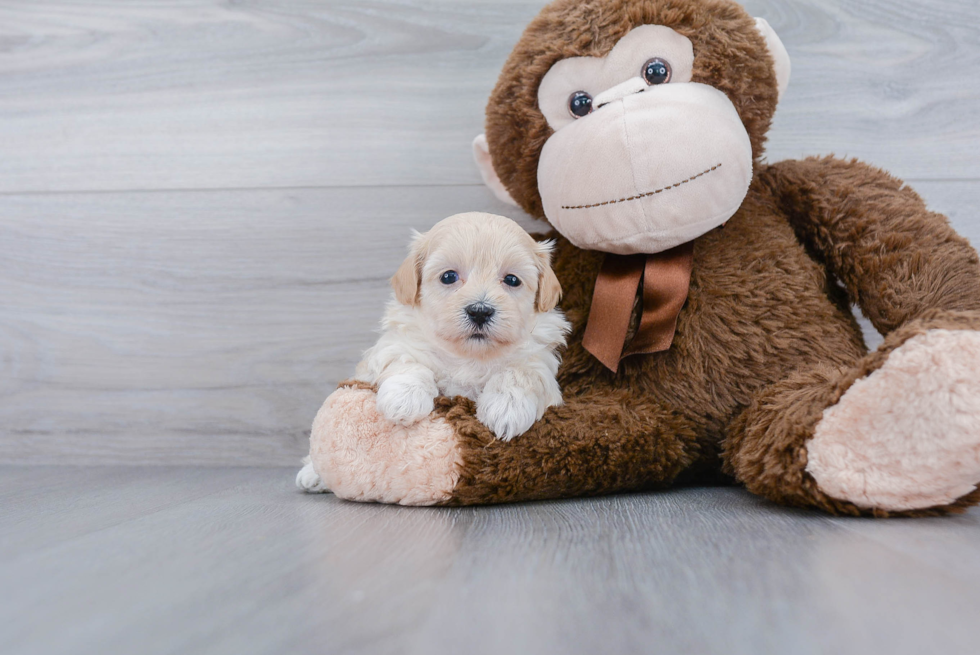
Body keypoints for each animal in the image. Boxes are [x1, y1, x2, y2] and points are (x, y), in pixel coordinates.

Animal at [300, 213, 576, 494]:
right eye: (449, 276)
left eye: (511, 280)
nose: (479, 311)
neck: (468, 356)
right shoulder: (395, 345)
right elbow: (408, 362)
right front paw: (404, 399)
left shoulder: (539, 359)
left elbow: (521, 372)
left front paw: (507, 408)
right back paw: (312, 474)